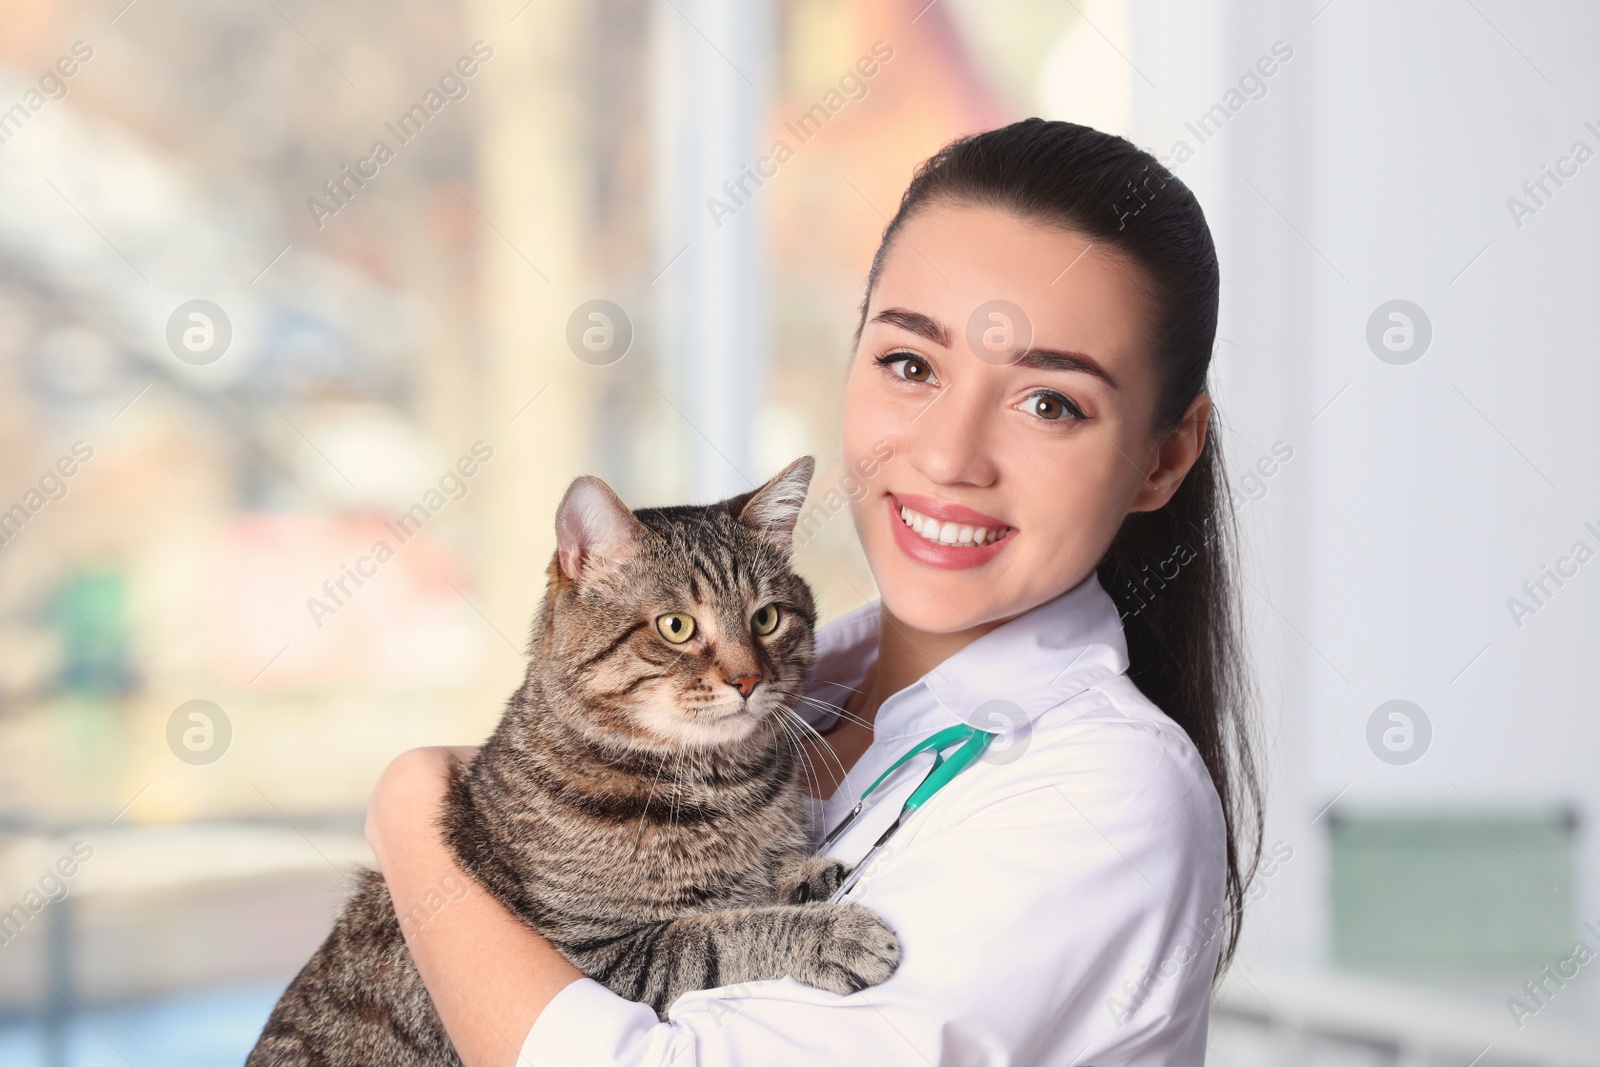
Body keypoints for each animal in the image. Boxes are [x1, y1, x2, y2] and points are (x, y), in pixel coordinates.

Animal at [249, 460, 902, 1067]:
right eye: (677, 627)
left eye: (766, 618)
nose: (747, 680)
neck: (722, 782)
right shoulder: (605, 954)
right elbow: (721, 932)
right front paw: (831, 931)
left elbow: (760, 884)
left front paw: (804, 874)